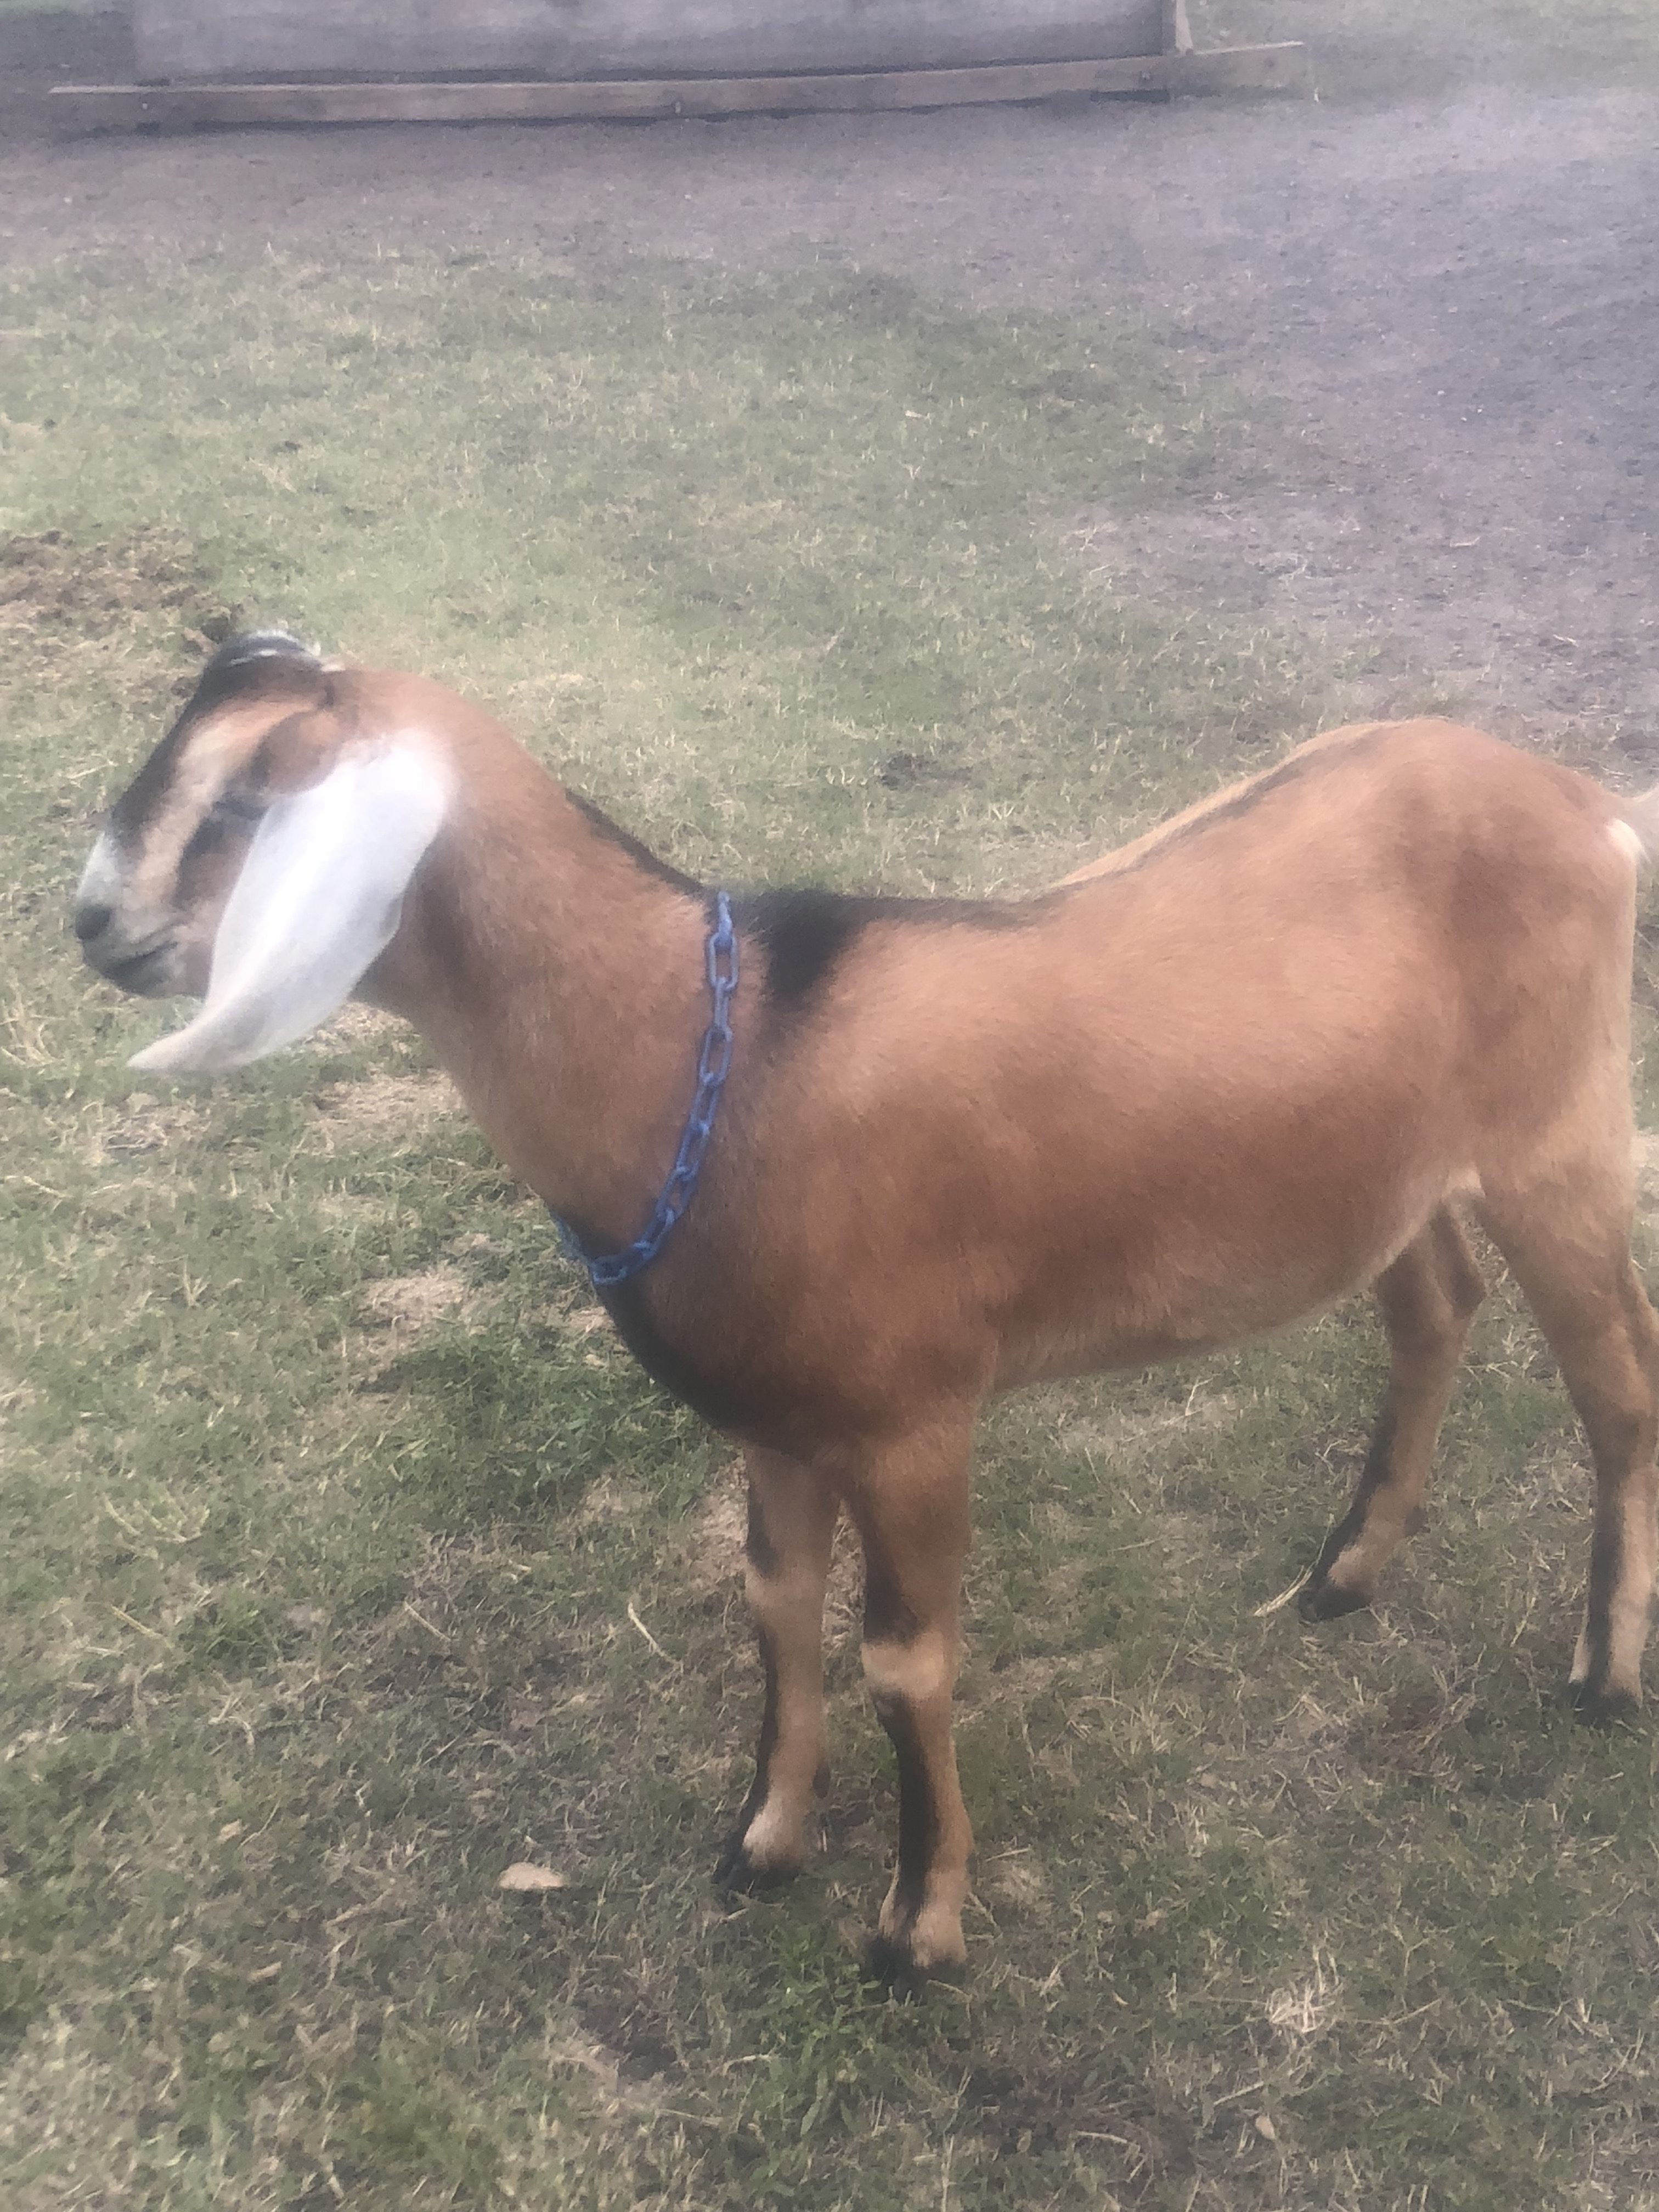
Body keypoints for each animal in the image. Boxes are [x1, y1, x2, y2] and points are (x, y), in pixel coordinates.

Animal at [74, 630, 1659, 1981]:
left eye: (248, 800)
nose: (95, 924)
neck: (709, 1054)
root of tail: (1591, 807)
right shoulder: (777, 1421)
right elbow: (775, 1601)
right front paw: (766, 1839)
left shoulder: (914, 1424)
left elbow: (904, 1660)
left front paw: (919, 1925)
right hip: (1392, 1167)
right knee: (1436, 1303)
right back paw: (1348, 1571)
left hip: (1559, 1131)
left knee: (1618, 1385)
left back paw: (1602, 1671)